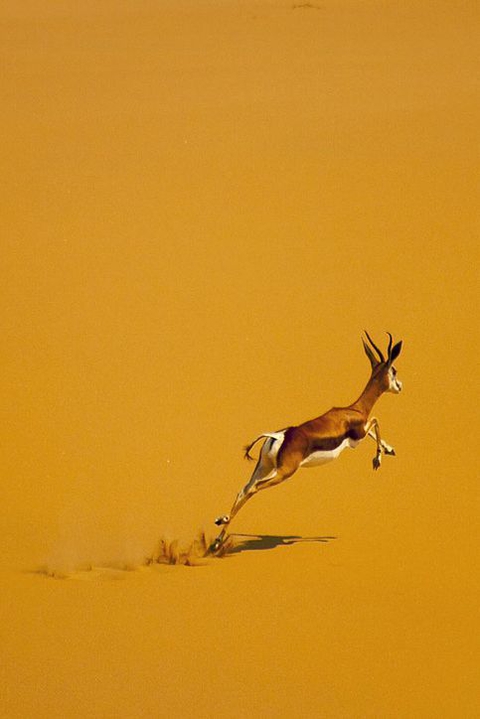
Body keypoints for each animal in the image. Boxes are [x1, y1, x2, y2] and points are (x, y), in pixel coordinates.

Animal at [210, 332, 403, 553]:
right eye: (394, 370)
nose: (400, 386)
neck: (354, 409)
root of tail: (279, 436)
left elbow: (375, 425)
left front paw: (389, 449)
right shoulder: (358, 437)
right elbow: (376, 421)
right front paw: (378, 459)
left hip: (264, 467)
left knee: (243, 489)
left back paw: (217, 536)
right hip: (284, 473)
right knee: (253, 488)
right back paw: (220, 530)